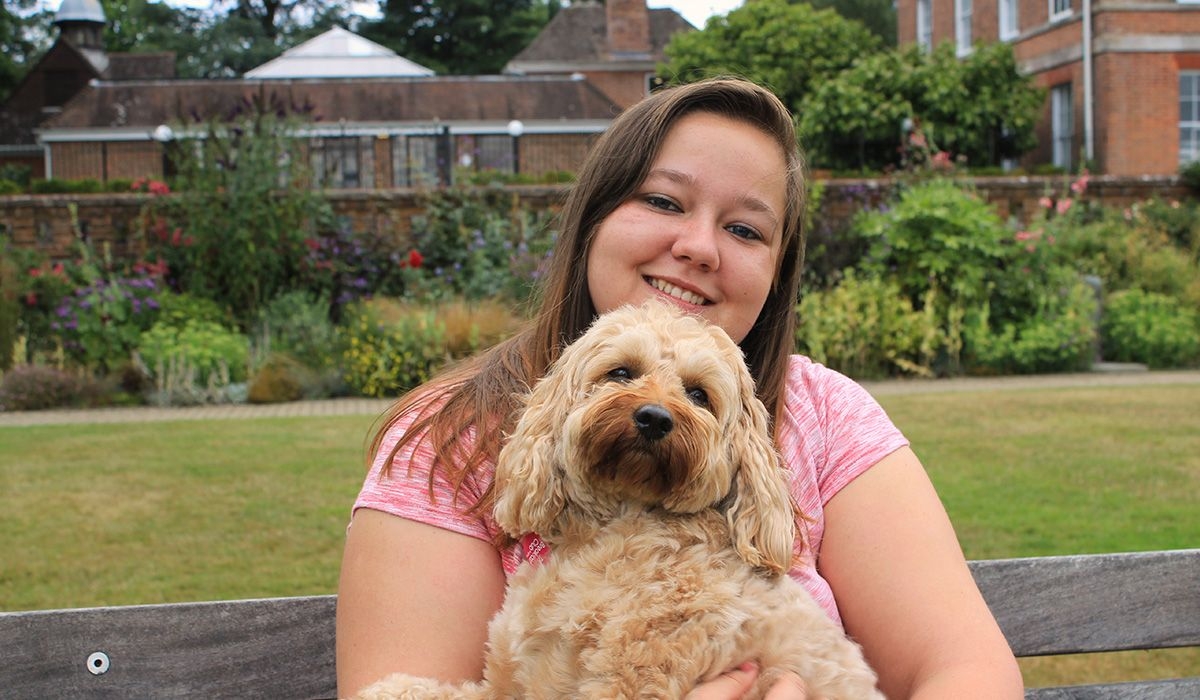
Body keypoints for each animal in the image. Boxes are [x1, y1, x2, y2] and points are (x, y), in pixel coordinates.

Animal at [352, 303, 883, 700]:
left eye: (699, 394)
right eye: (621, 372)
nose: (654, 417)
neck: (624, 529)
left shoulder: (630, 682)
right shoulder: (512, 679)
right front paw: (390, 690)